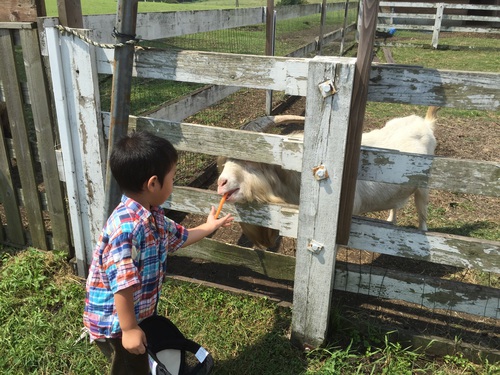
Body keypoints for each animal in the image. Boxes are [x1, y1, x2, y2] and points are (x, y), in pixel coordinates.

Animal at [217, 108, 440, 250]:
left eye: (251, 160)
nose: (221, 183)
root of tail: (425, 124)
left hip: (425, 186)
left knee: (423, 215)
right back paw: (390, 221)